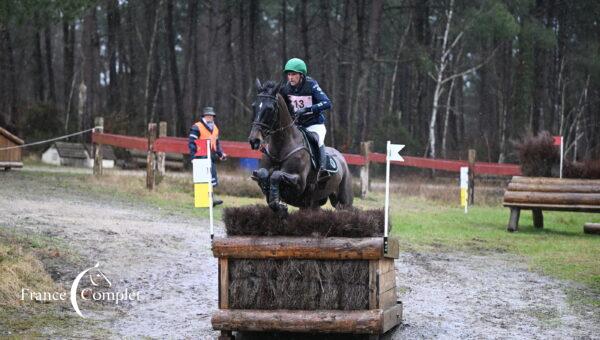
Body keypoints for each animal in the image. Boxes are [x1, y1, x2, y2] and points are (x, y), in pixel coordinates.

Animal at [247, 80, 354, 215]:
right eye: (254, 106)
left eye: (270, 109)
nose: (254, 140)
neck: (280, 146)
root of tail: (342, 158)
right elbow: (263, 174)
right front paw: (273, 198)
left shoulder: (299, 182)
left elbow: (276, 175)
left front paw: (279, 205)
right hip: (312, 204)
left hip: (343, 202)